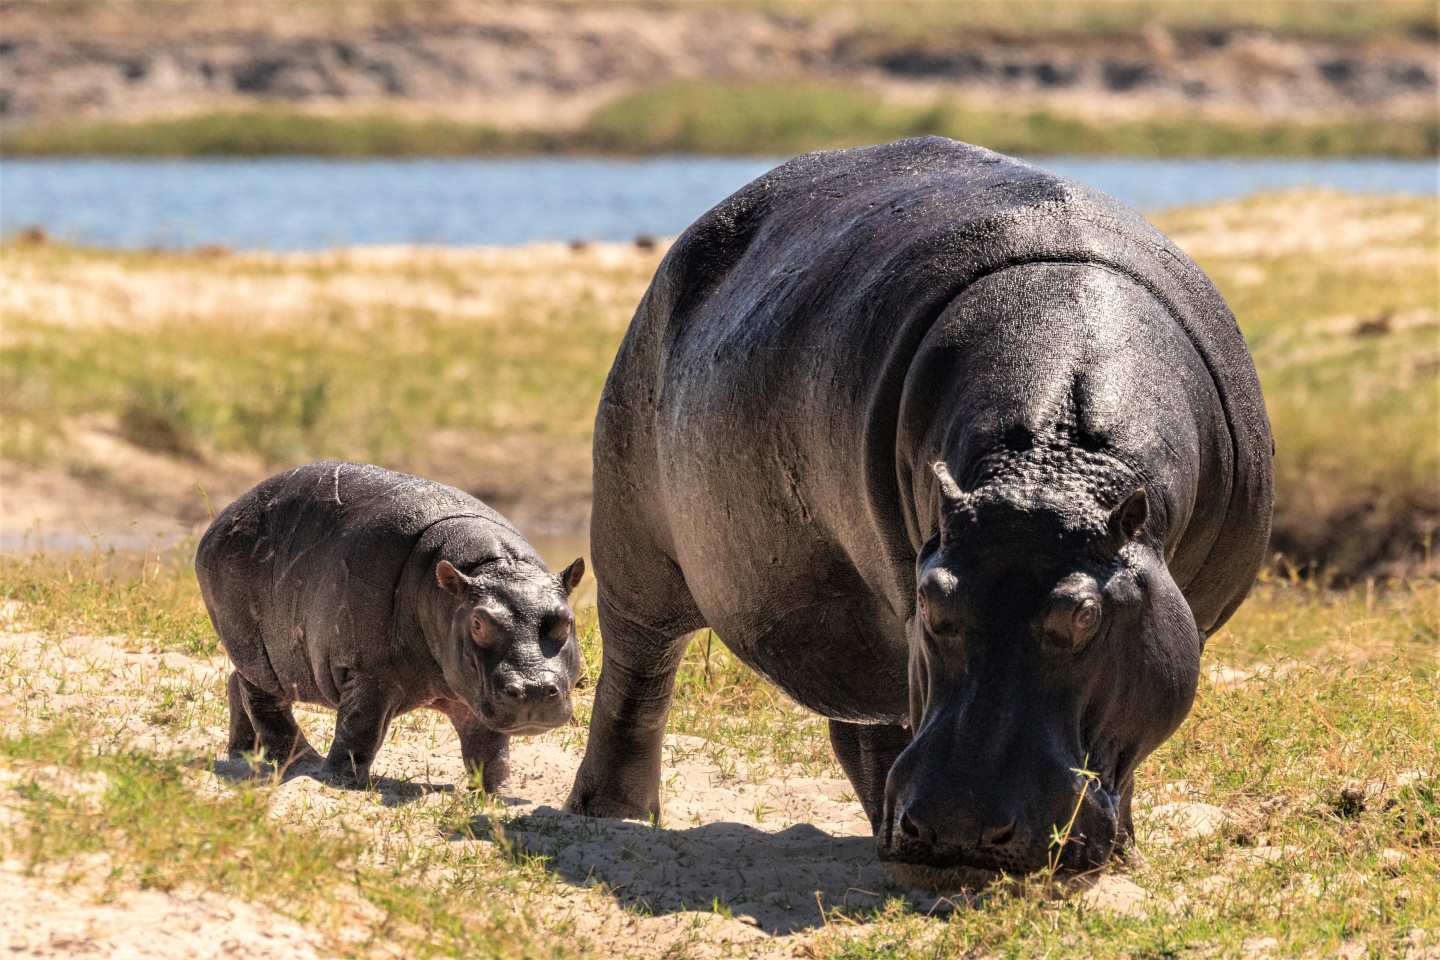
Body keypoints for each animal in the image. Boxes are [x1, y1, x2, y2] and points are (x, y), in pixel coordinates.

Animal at [197, 460, 584, 788]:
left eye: (567, 620)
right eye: (478, 622)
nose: (534, 690)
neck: (489, 567)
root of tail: (223, 518)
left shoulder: (470, 689)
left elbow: (489, 747)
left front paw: (494, 793)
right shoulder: (370, 672)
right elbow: (360, 728)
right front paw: (341, 781)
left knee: (236, 683)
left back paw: (243, 753)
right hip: (257, 651)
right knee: (262, 699)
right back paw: (302, 761)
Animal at [564, 135, 1272, 886]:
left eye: (1083, 617)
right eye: (933, 601)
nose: (959, 829)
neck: (1054, 462)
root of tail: (683, 246)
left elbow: (1132, 738)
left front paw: (1125, 854)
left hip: (849, 620)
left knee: (865, 724)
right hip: (638, 548)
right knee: (637, 675)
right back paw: (612, 814)